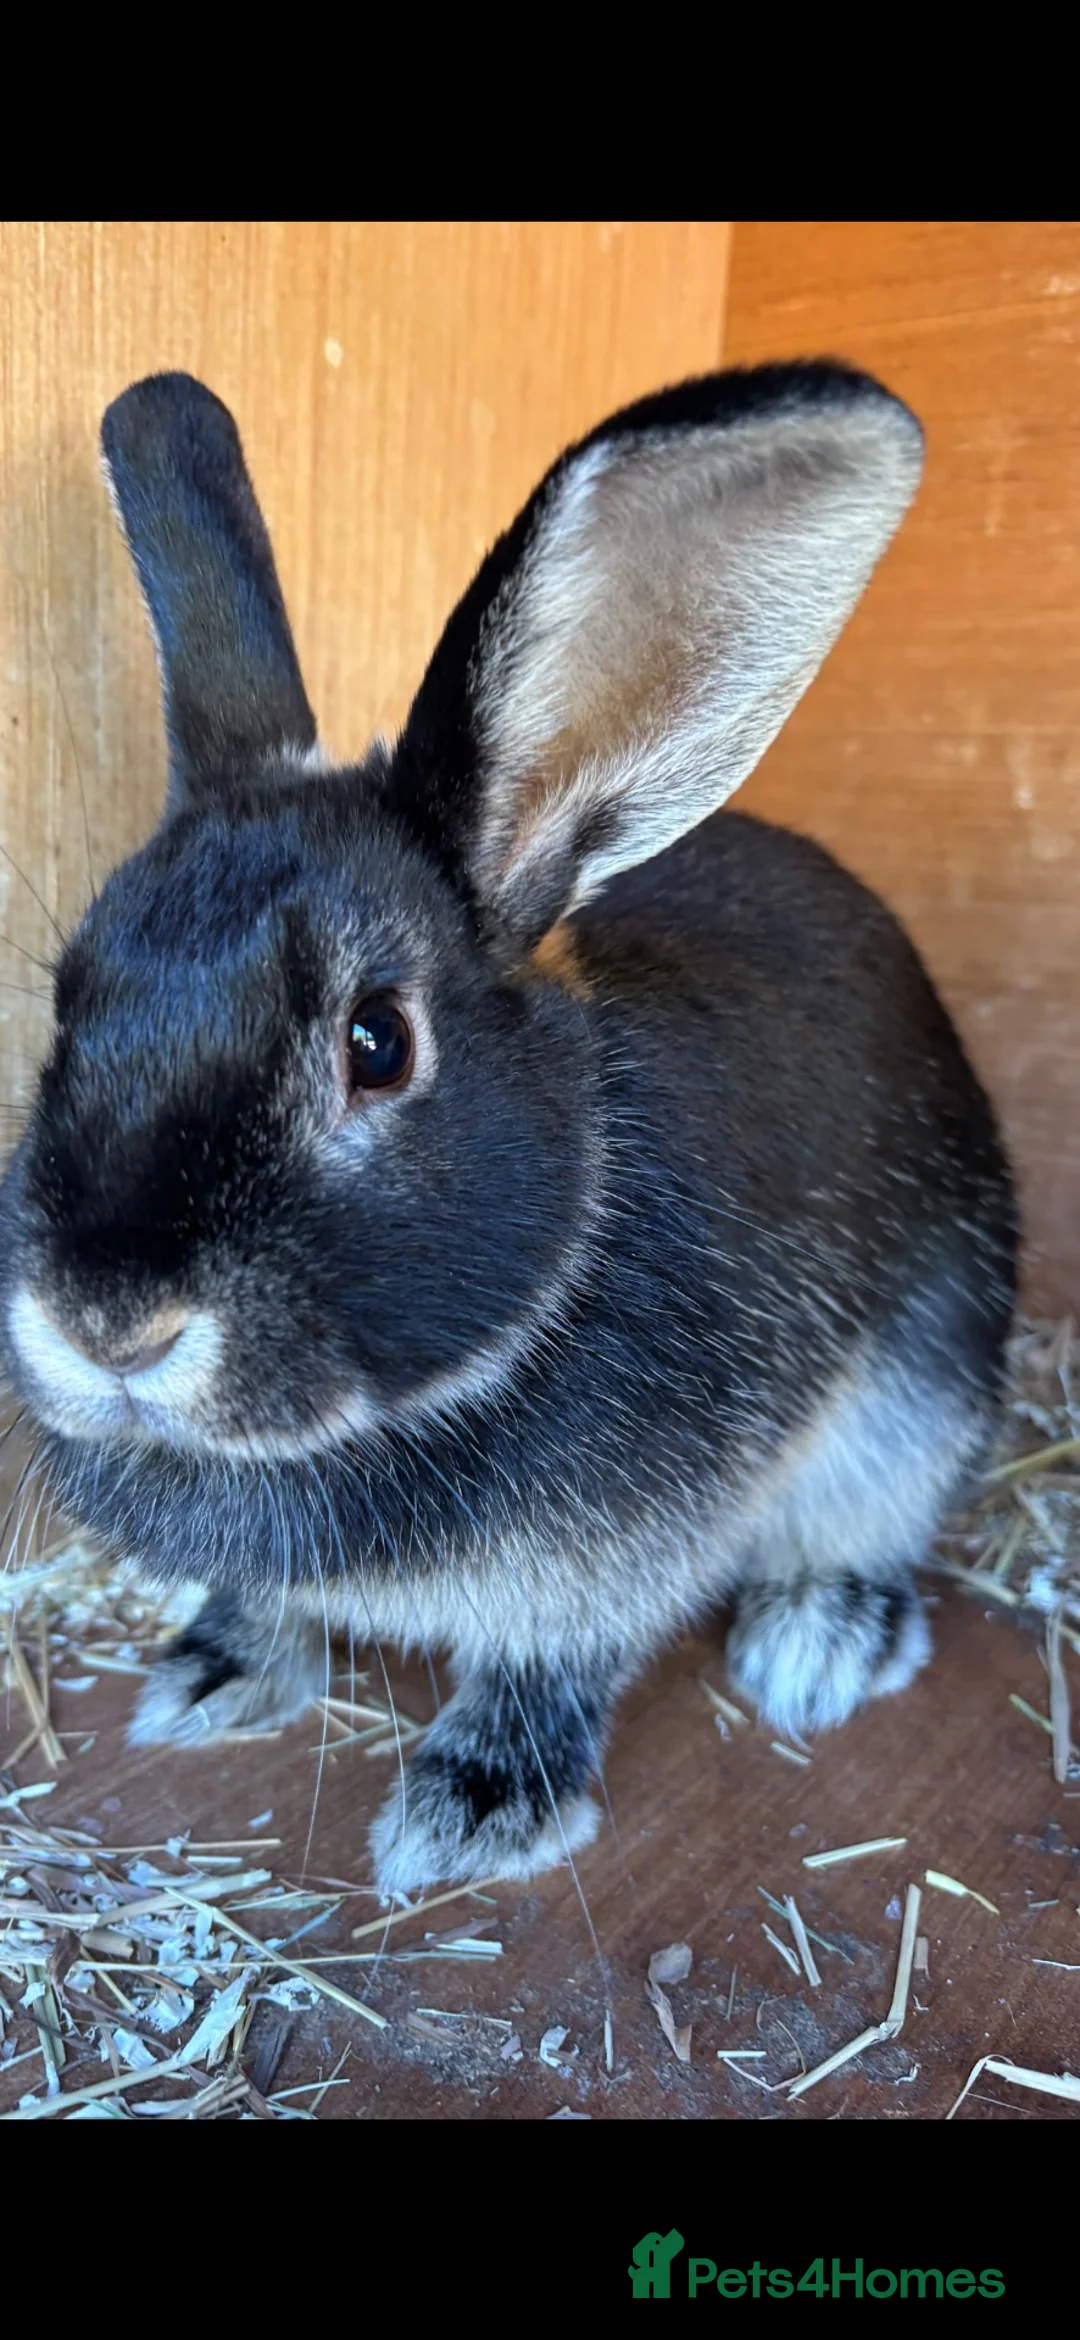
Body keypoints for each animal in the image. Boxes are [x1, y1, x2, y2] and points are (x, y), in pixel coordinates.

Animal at [0, 362, 1017, 1894]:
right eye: (68, 1005)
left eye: (377, 1043)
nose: (111, 1322)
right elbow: (264, 1602)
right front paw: (217, 1672)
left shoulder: (616, 1563)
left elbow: (553, 1664)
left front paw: (472, 1808)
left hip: (925, 1387)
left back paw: (819, 1641)